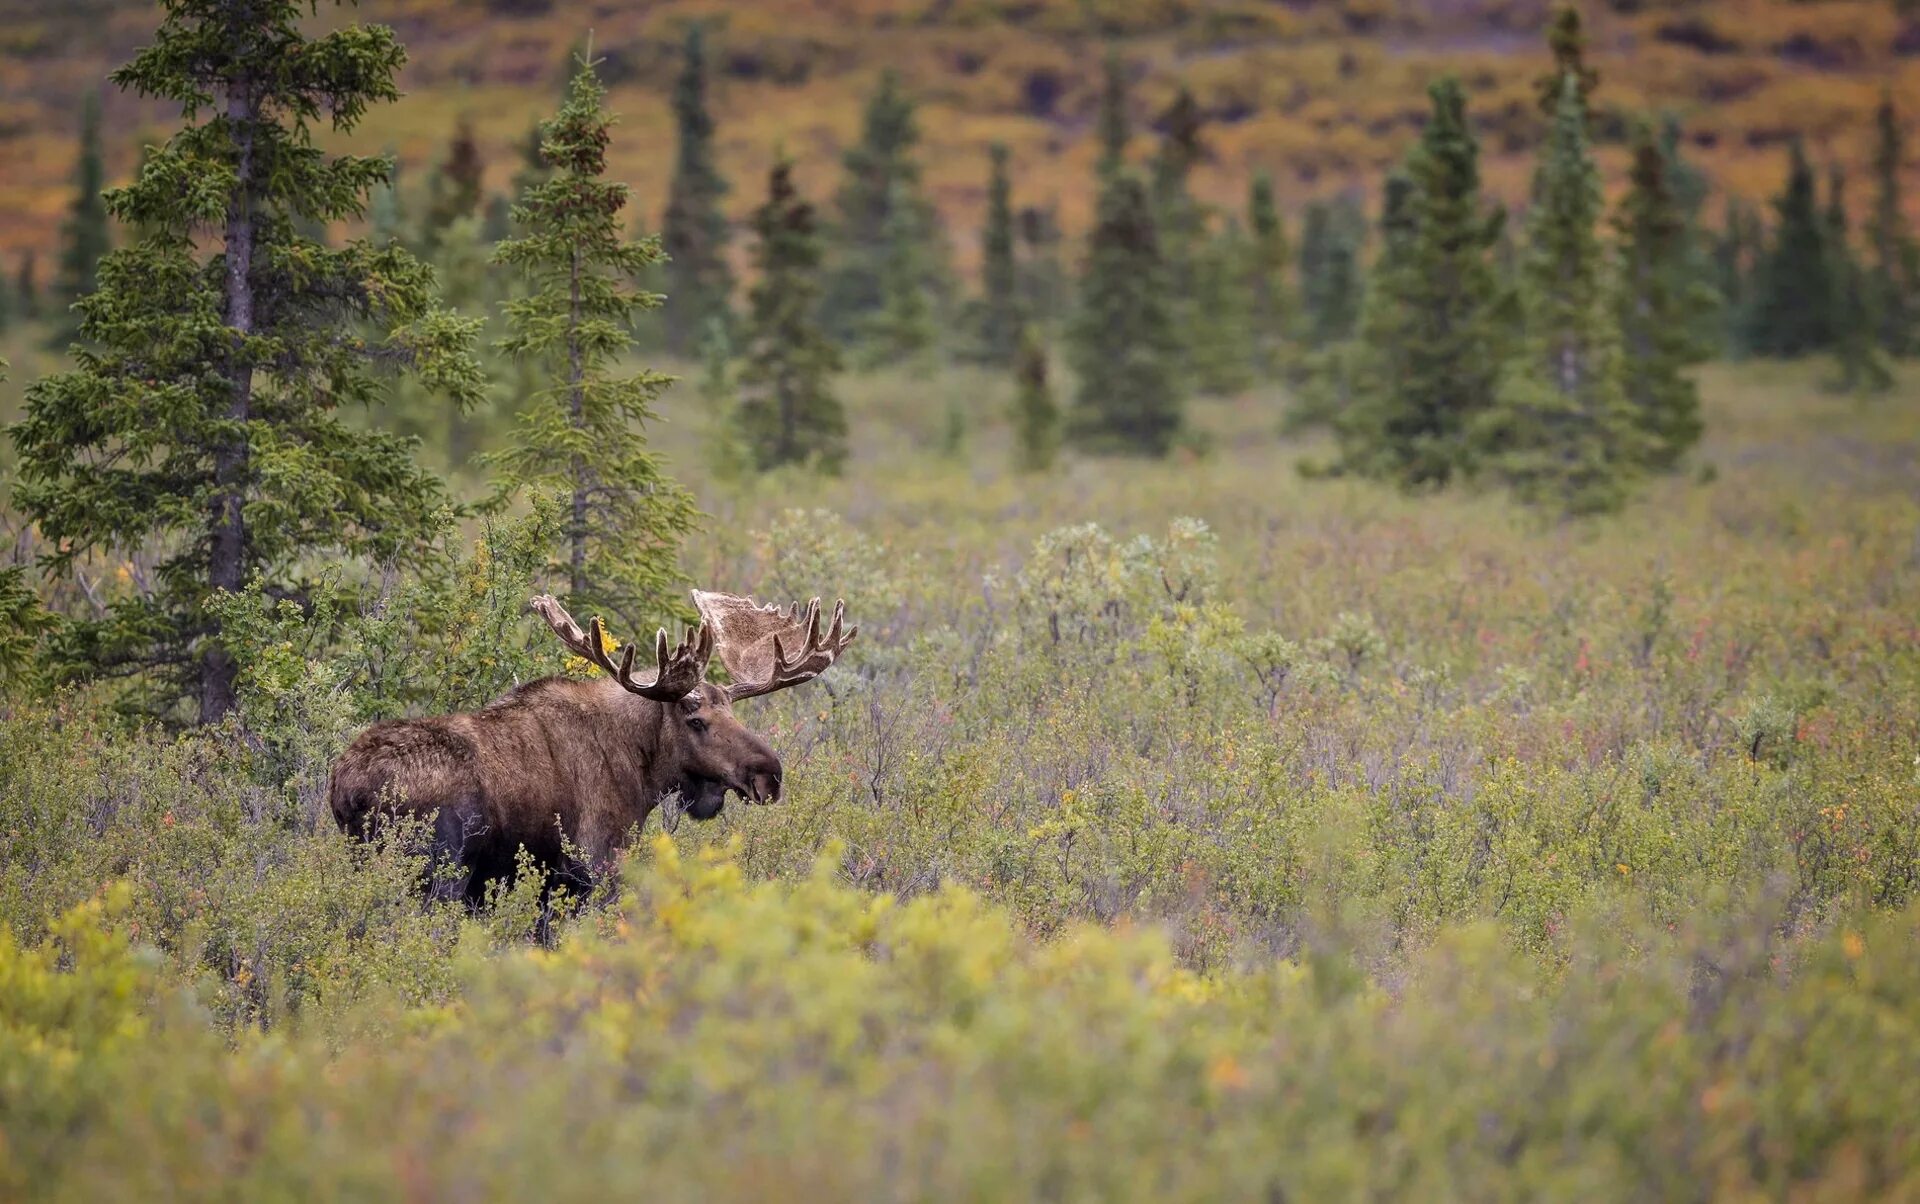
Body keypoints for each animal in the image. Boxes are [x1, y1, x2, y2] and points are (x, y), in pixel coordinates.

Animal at [330, 587, 856, 910]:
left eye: (734, 713)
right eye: (697, 720)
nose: (770, 774)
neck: (642, 770)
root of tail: (345, 789)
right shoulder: (596, 863)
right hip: (437, 871)